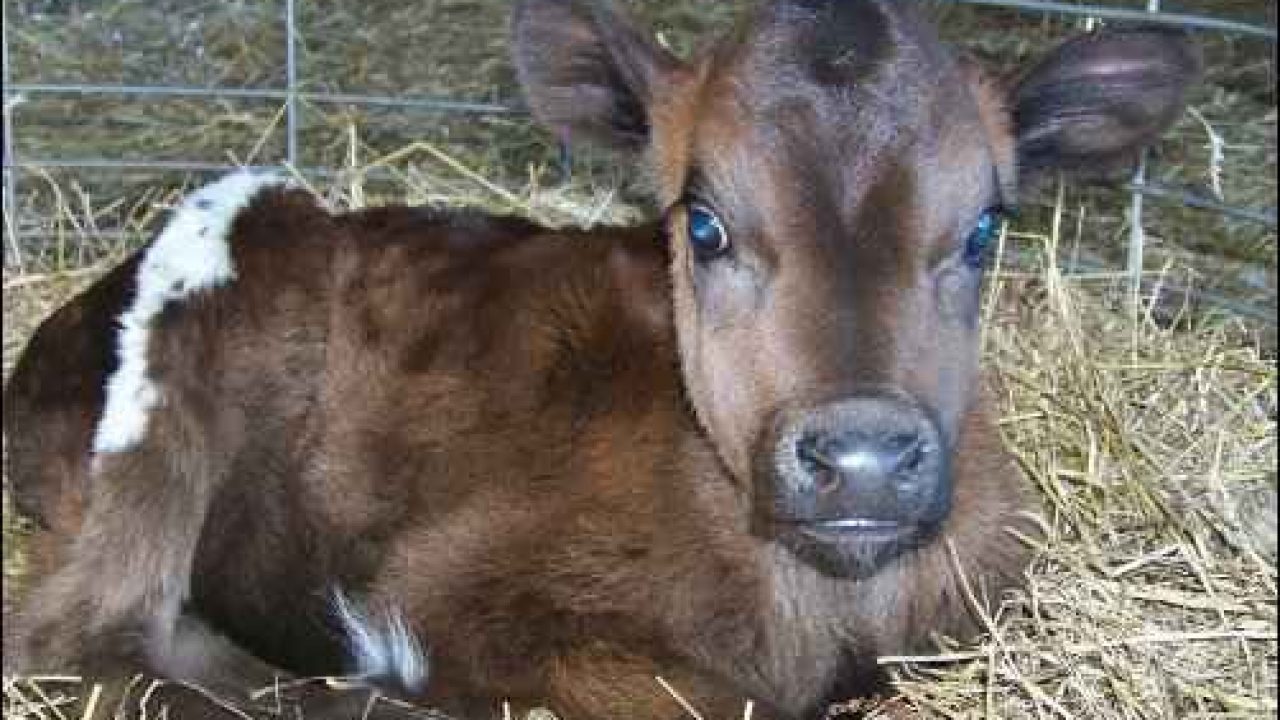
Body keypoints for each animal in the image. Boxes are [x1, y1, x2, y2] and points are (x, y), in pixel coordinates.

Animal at [3, 0, 1198, 717]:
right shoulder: (452, 592)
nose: (861, 459)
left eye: (986, 228)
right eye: (703, 223)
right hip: (229, 264)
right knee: (79, 630)